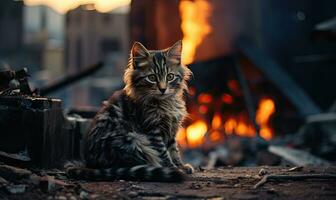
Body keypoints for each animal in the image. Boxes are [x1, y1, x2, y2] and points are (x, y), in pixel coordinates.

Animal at [65, 39, 193, 182]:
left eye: (170, 77)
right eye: (152, 78)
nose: (163, 89)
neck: (166, 103)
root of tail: (89, 164)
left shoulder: (172, 129)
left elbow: (174, 150)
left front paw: (180, 165)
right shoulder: (153, 129)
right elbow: (164, 153)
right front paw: (173, 168)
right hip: (133, 140)